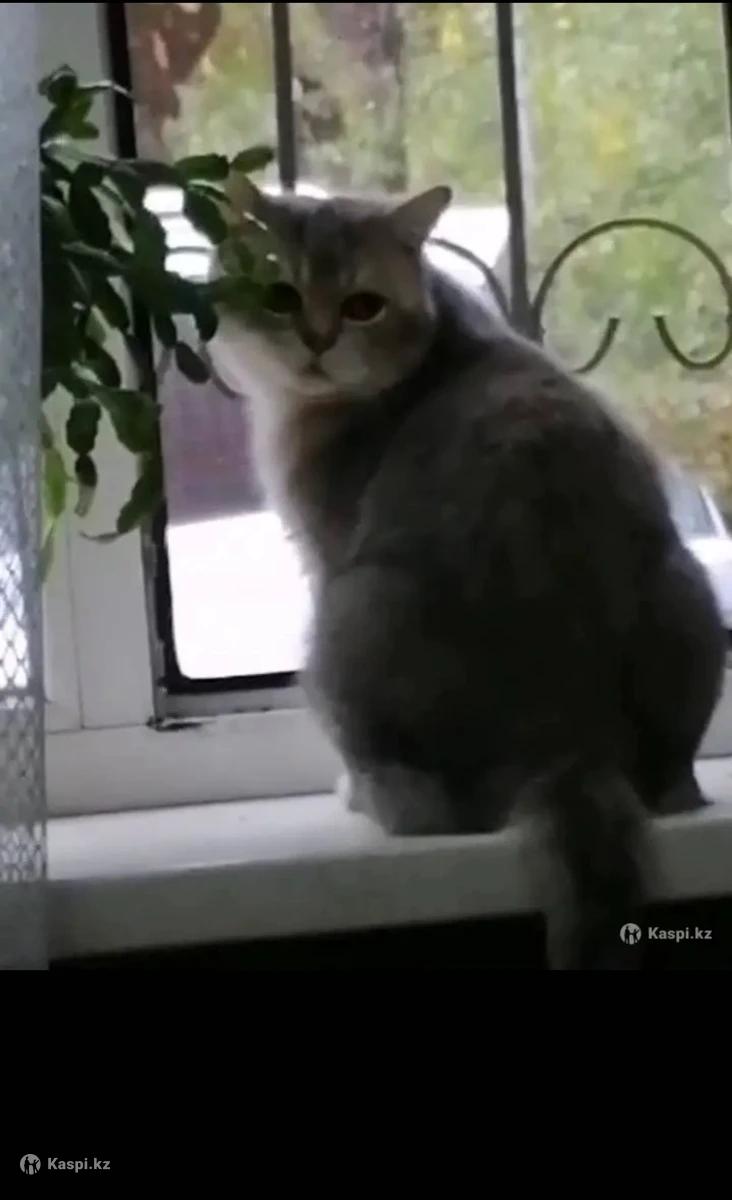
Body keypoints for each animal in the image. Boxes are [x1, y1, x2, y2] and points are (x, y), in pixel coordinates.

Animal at [209, 180, 726, 969]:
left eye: (362, 305)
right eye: (279, 293)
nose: (318, 340)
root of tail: (568, 747)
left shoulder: (325, 555)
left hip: (343, 616)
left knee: (420, 811)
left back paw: (363, 791)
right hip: (691, 589)